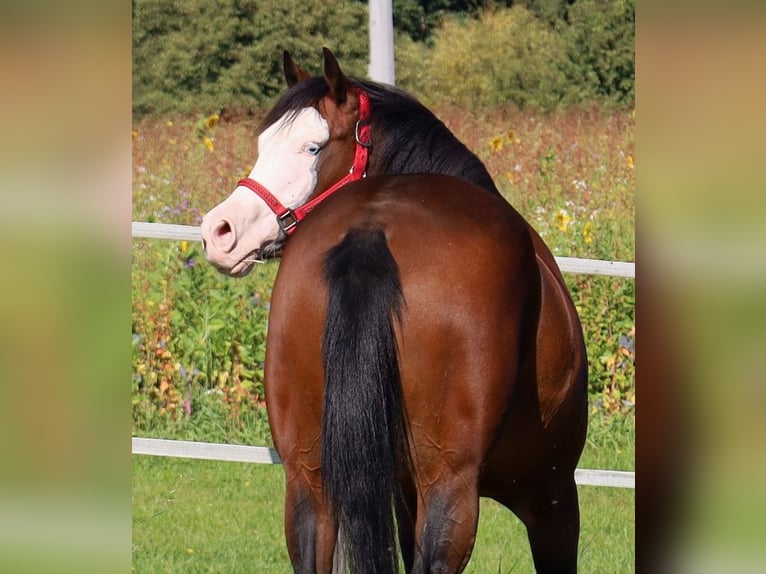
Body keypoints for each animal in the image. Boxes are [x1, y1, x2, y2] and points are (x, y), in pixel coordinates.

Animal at [200, 48, 588, 573]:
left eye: (312, 148)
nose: (220, 231)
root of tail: (372, 226)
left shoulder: (404, 494)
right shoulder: (553, 497)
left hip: (307, 476)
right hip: (450, 486)